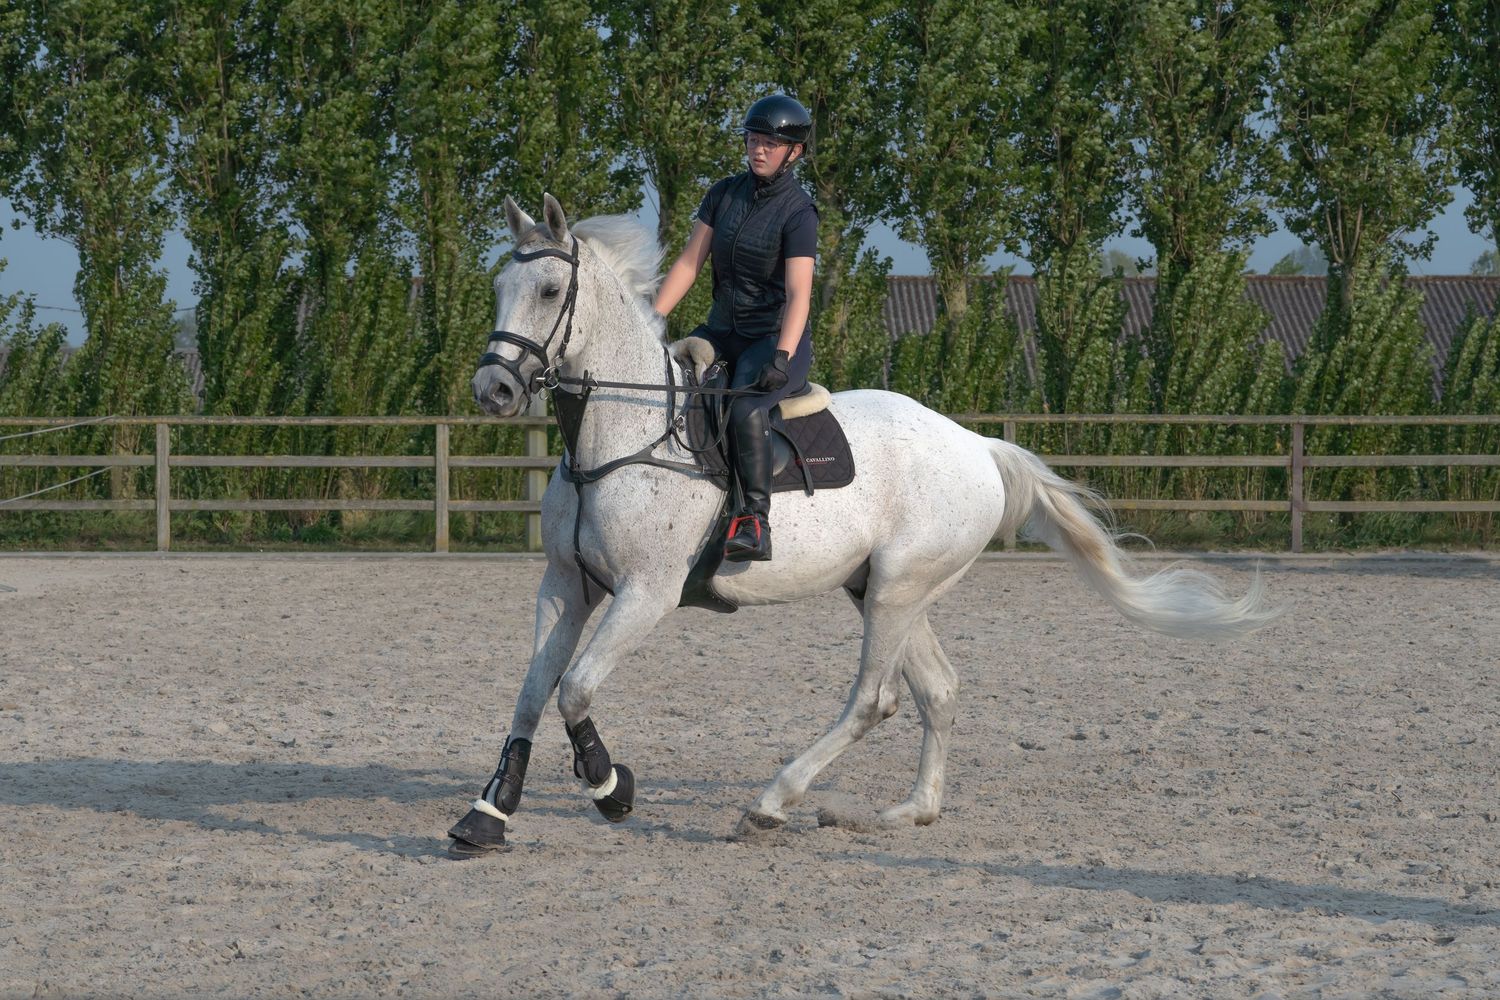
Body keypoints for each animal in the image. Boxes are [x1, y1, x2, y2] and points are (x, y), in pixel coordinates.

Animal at [449, 193, 1277, 857]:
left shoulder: (646, 592)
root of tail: (978, 445)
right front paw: (488, 815)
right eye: (497, 286)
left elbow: (575, 689)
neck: (621, 434)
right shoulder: (567, 586)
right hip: (884, 589)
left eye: (549, 288)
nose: (493, 389)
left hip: (898, 590)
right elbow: (532, 691)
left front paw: (610, 787)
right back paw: (907, 812)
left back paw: (771, 804)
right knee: (938, 689)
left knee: (875, 700)